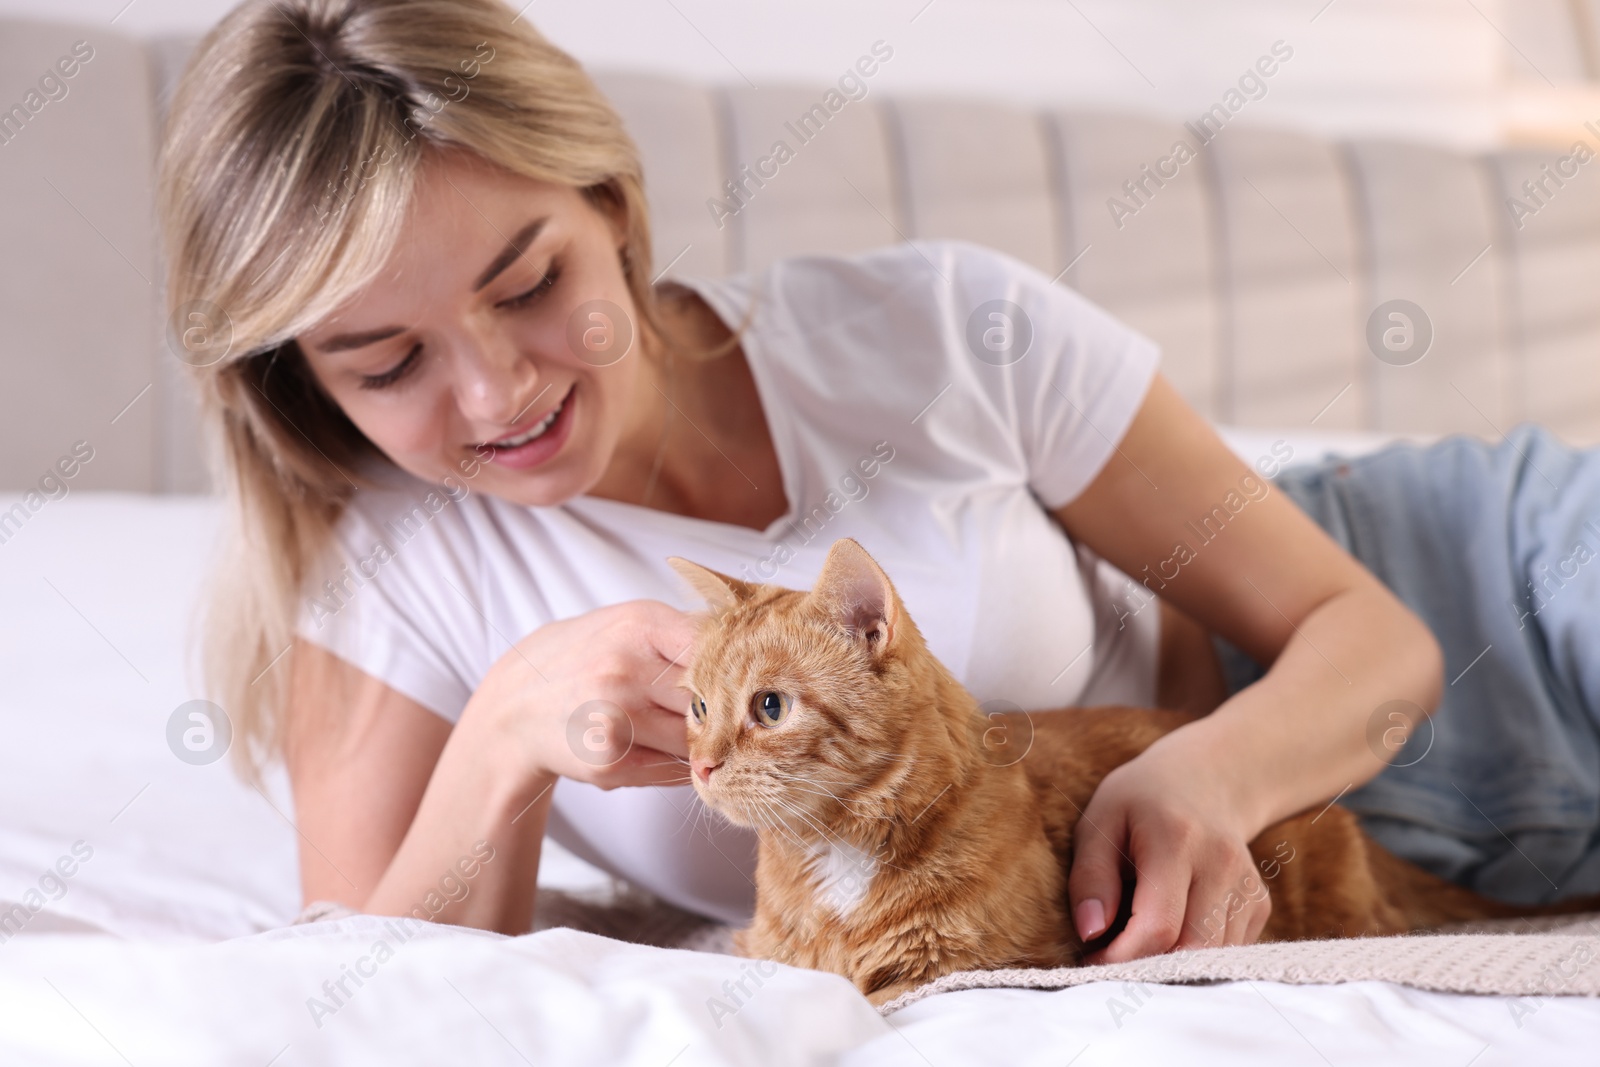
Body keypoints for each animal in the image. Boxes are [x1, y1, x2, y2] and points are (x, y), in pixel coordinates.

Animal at [672, 537, 1600, 1004]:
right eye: (697, 706)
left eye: (769, 708)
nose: (703, 765)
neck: (834, 856)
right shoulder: (771, 949)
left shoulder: (966, 964)